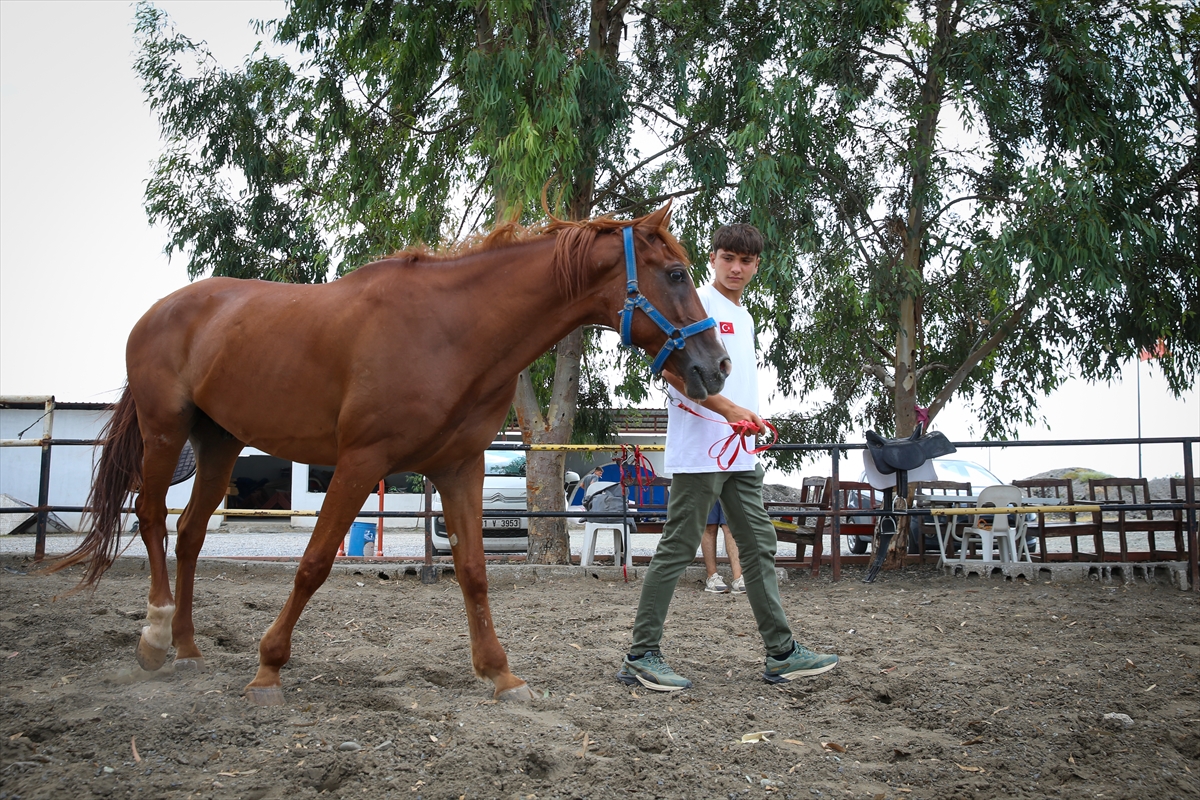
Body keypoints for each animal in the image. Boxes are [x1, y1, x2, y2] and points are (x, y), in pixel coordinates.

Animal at [56, 205, 724, 705]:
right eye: (675, 274)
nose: (715, 366)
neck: (452, 329)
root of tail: (159, 312)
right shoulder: (361, 462)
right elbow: (313, 564)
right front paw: (269, 667)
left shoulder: (459, 468)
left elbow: (474, 571)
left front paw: (500, 673)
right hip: (165, 432)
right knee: (151, 518)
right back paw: (154, 638)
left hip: (219, 442)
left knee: (191, 534)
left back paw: (189, 648)